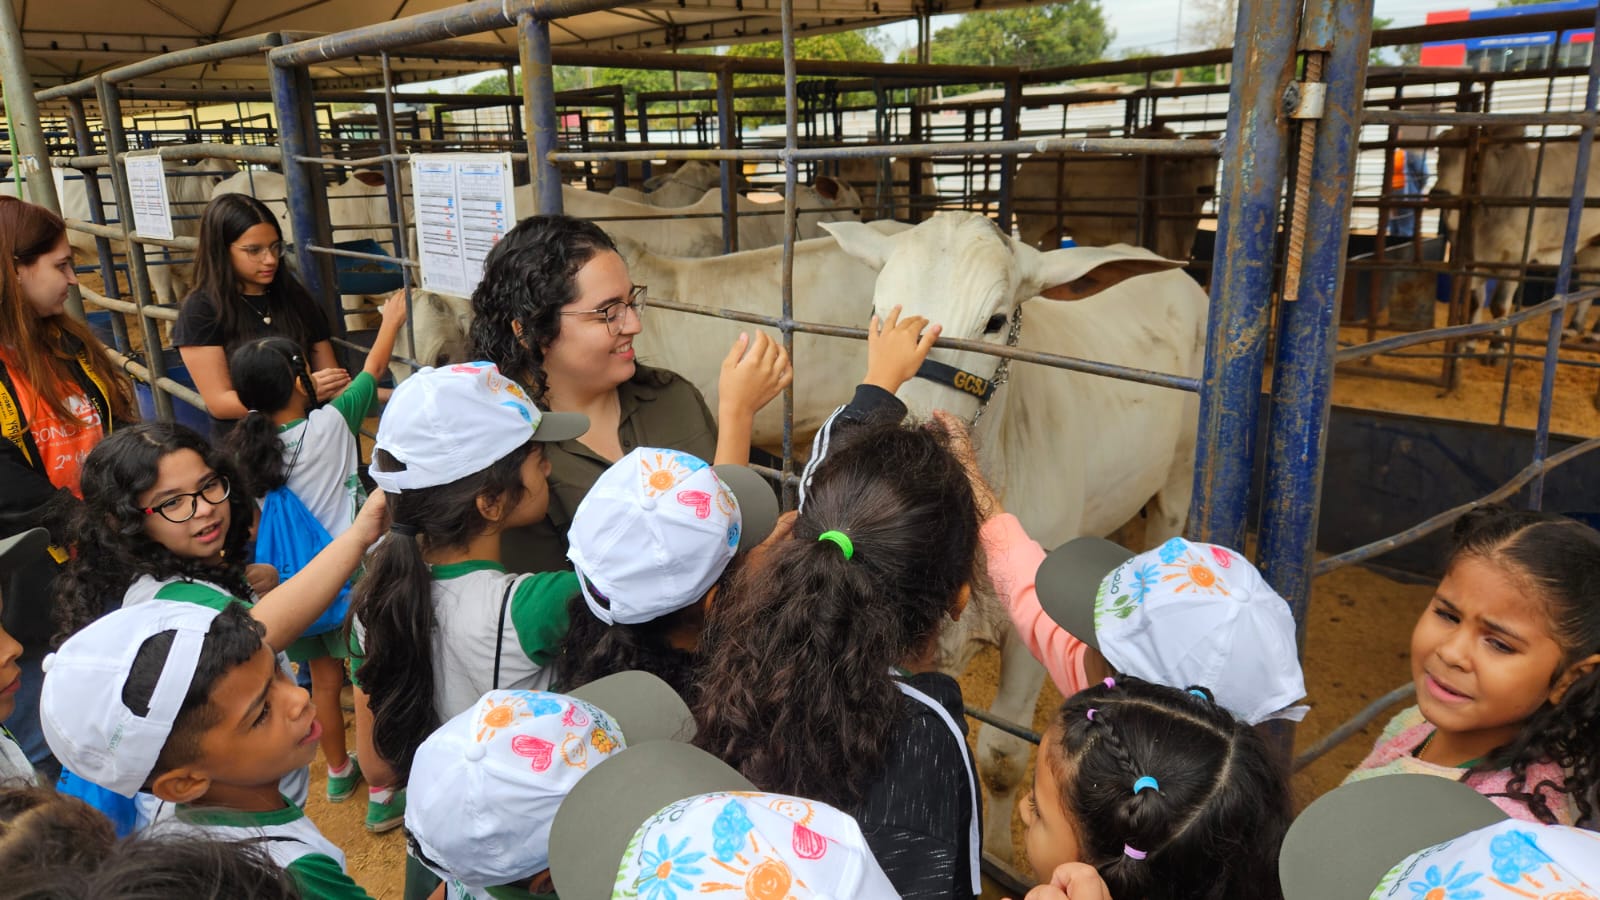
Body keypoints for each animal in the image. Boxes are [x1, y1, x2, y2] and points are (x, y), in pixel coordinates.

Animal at [1433, 124, 1600, 337]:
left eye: (1476, 156)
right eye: (1440, 154)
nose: (1439, 193)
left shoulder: (1516, 255)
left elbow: (1499, 306)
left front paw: (1497, 344)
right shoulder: (1473, 258)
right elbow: (1475, 302)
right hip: (1591, 244)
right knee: (1589, 281)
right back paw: (1573, 327)